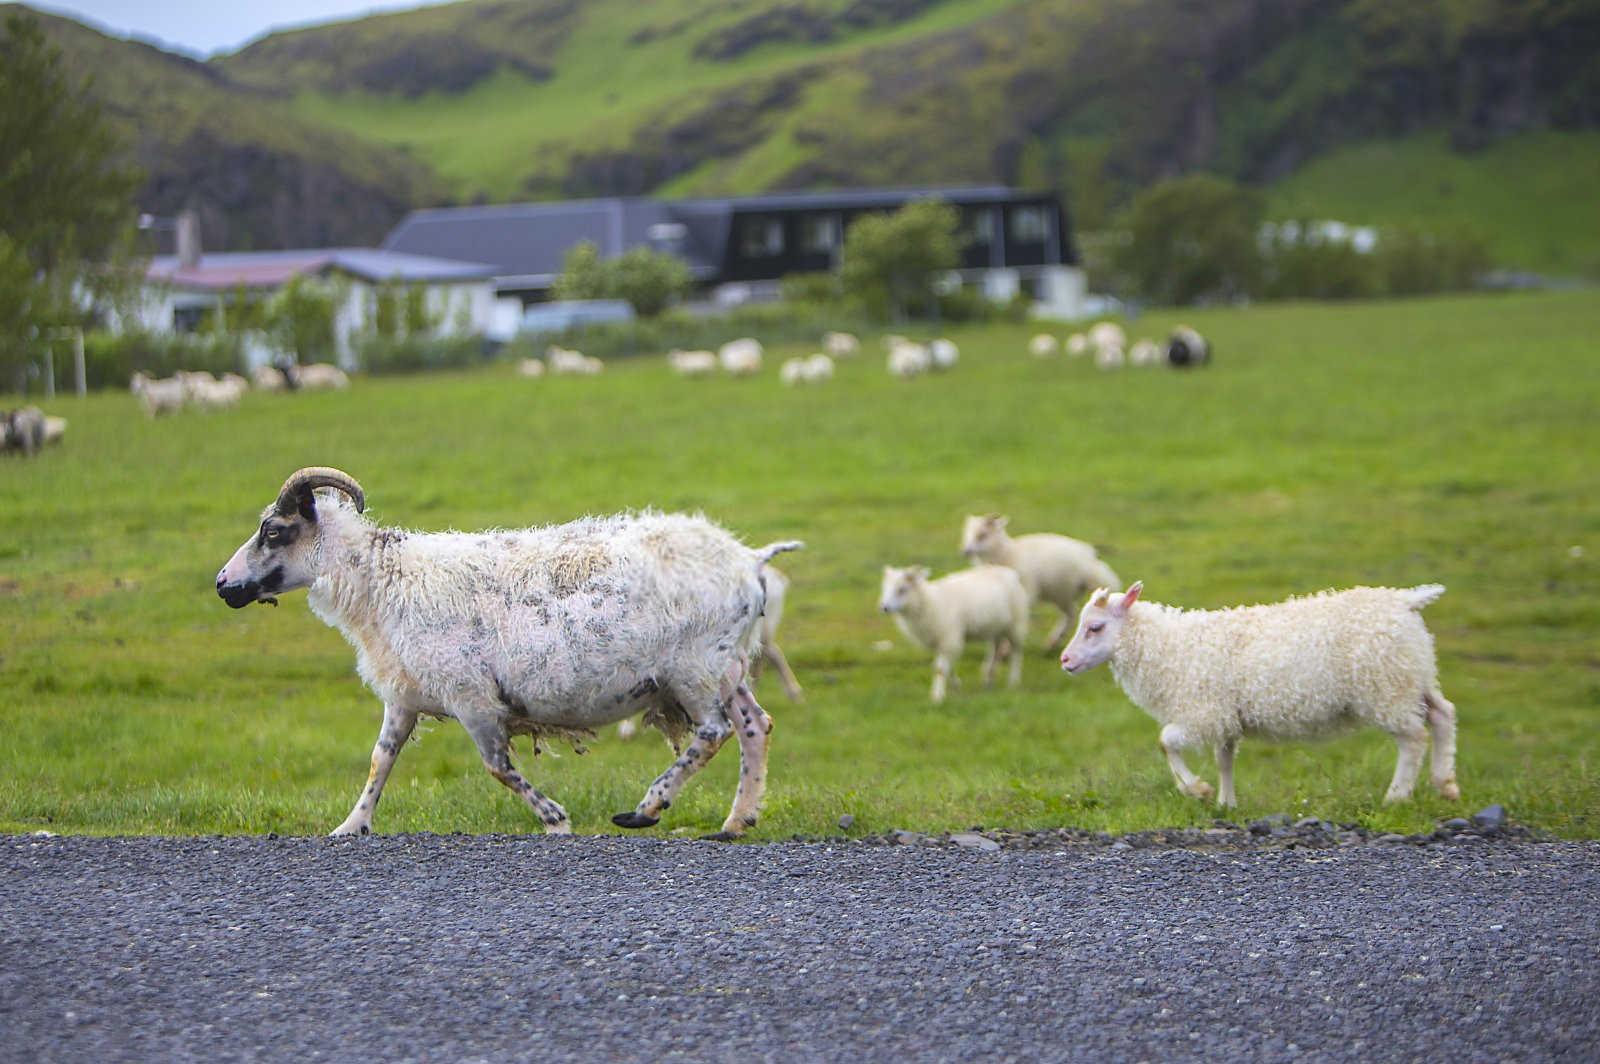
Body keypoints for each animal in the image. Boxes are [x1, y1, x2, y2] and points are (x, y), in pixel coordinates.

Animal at [214, 464, 806, 838]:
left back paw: (646, 808)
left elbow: (497, 766)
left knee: (714, 732)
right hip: (726, 665)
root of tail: (749, 558)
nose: (222, 585)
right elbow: (381, 760)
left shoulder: (473, 697)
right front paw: (351, 825)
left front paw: (556, 820)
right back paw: (736, 822)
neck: (382, 583)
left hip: (693, 668)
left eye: (273, 531)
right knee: (755, 725)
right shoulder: (405, 694)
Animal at [883, 560, 1030, 700]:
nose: (884, 607)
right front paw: (955, 685)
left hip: (1016, 623)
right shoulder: (940, 641)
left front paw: (937, 696)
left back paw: (1013, 681)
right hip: (996, 626)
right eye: (885, 589)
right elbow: (946, 666)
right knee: (995, 647)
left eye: (902, 589)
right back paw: (988, 678)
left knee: (1017, 651)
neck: (931, 603)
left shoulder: (949, 637)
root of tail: (1009, 572)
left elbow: (940, 669)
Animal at [960, 515, 1126, 646]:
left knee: (1071, 614)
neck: (1007, 553)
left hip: (1062, 591)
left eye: (982, 535)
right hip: (1062, 594)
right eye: (967, 535)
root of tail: (1090, 558)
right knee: (1071, 613)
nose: (965, 551)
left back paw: (1053, 641)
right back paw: (1053, 643)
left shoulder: (1026, 591)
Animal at [1062, 582, 1465, 806]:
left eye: (1095, 628)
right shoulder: (1225, 719)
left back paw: (1396, 796)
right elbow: (1225, 760)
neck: (1168, 647)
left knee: (1414, 738)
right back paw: (1445, 784)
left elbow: (1166, 742)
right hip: (1413, 675)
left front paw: (1197, 790)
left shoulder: (1202, 714)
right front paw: (1226, 803)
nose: (1065, 660)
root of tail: (1404, 601)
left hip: (1385, 686)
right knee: (1443, 714)